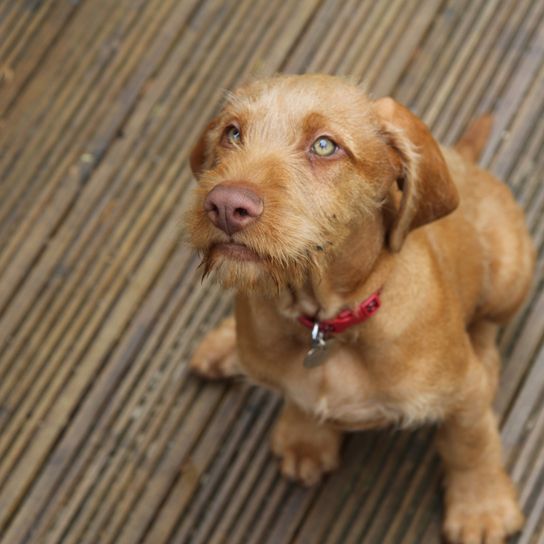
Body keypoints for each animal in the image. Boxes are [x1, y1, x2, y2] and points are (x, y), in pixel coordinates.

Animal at [185, 73, 532, 544]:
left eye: (324, 146)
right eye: (232, 133)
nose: (224, 206)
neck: (327, 322)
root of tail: (463, 158)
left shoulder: (464, 394)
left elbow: (469, 445)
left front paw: (481, 507)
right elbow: (299, 397)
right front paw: (306, 435)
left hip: (511, 275)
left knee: (487, 329)